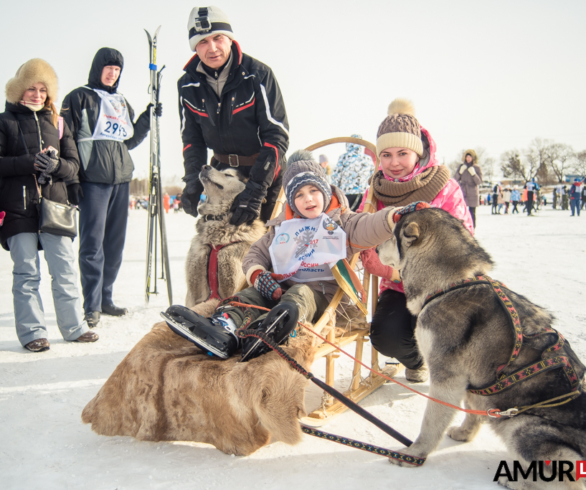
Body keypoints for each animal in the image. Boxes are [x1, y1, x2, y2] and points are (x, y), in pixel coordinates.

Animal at [376, 208, 580, 490]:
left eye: (392, 236)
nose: (374, 248)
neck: (450, 284)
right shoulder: (475, 380)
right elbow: (472, 406)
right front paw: (464, 433)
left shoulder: (446, 375)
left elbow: (431, 423)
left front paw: (415, 454)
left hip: (523, 426)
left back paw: (518, 482)